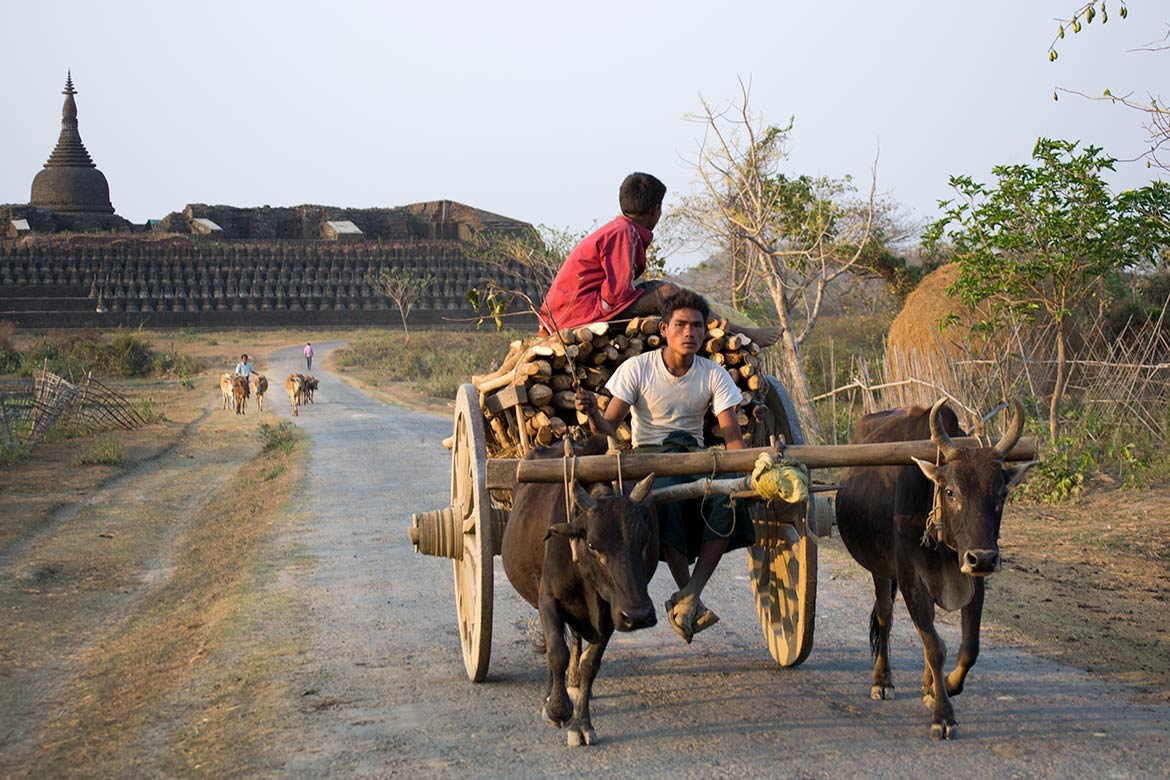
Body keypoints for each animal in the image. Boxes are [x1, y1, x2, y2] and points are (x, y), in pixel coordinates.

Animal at [503, 437, 664, 748]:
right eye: (592, 545)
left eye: (645, 539)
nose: (639, 616)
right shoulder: (548, 601)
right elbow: (557, 652)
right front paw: (557, 709)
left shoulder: (611, 614)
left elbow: (591, 663)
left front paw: (581, 722)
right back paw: (552, 693)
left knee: (576, 640)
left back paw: (574, 681)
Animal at [837, 399, 1038, 743]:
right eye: (951, 492)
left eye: (1002, 494)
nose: (983, 558)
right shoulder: (910, 581)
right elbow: (935, 647)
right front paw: (944, 717)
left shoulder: (974, 582)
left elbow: (968, 648)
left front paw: (943, 687)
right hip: (881, 570)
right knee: (885, 616)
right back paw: (883, 680)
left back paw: (928, 684)